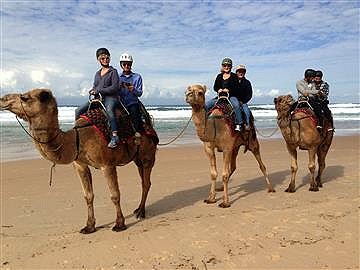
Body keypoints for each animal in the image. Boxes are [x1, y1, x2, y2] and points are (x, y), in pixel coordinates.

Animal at [0, 88, 158, 232]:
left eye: (24, 97)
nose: (2, 99)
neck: (78, 138)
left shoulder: (107, 164)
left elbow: (115, 195)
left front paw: (119, 224)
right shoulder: (80, 165)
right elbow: (88, 196)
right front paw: (89, 226)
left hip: (148, 155)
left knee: (146, 183)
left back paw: (141, 212)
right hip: (137, 159)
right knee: (143, 180)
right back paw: (138, 210)